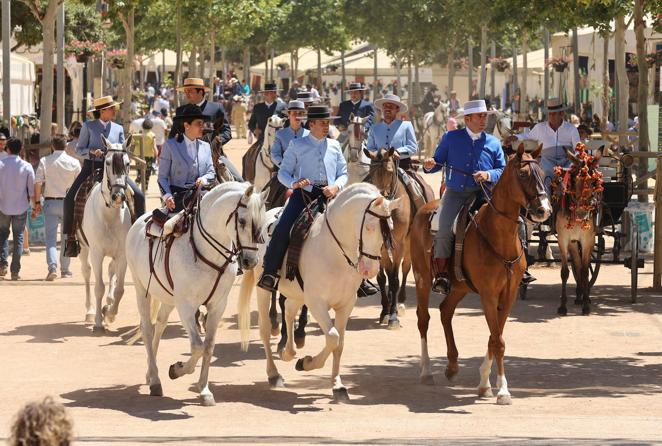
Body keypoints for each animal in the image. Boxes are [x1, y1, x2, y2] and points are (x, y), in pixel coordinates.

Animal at [79, 136, 134, 332]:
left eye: (127, 163)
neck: (109, 214)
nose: (118, 196)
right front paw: (97, 321)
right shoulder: (96, 253)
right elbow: (99, 287)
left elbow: (120, 289)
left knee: (111, 271)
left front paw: (109, 313)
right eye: (108, 162)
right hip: (83, 249)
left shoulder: (123, 255)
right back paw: (89, 311)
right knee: (87, 274)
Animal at [127, 182, 268, 408]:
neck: (207, 252)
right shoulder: (186, 306)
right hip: (142, 290)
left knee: (160, 325)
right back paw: (155, 381)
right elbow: (197, 346)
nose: (250, 261)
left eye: (263, 222)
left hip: (168, 298)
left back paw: (151, 373)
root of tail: (141, 221)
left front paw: (204, 390)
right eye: (242, 221)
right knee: (147, 329)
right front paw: (176, 370)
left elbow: (208, 347)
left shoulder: (217, 306)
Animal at [241, 183, 402, 398]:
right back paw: (274, 374)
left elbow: (339, 344)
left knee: (289, 311)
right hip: (265, 289)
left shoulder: (346, 304)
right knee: (265, 329)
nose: (370, 270)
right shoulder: (316, 302)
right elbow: (333, 337)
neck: (335, 251)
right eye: (369, 227)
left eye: (390, 228)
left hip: (297, 293)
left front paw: (337, 385)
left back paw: (289, 352)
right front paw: (307, 363)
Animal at [412, 143, 552, 404]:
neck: (498, 237)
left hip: (459, 286)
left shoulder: (508, 296)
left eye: (542, 172)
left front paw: (486, 383)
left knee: (446, 311)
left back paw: (452, 366)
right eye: (523, 174)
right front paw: (503, 390)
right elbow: (497, 340)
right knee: (423, 319)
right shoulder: (488, 294)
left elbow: (495, 337)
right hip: (422, 278)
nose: (543, 210)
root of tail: (425, 209)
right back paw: (426, 371)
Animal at [552, 145, 604, 316]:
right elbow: (565, 272)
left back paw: (583, 296)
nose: (582, 213)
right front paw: (562, 306)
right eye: (577, 179)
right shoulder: (563, 239)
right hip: (573, 242)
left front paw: (586, 306)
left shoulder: (588, 240)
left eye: (595, 181)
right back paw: (580, 294)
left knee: (581, 267)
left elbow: (585, 271)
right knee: (577, 263)